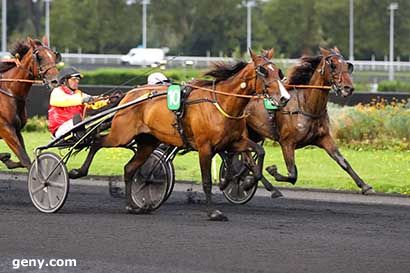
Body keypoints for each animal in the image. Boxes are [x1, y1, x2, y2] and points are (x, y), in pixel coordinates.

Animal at [0, 36, 60, 168]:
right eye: (39, 57)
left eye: (54, 55)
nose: (55, 81)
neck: (10, 90)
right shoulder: (6, 129)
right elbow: (25, 160)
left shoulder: (17, 130)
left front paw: (6, 158)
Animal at [69, 48, 290, 219]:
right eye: (263, 71)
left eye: (278, 72)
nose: (285, 97)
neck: (221, 103)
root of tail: (129, 95)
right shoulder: (205, 148)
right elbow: (207, 181)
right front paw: (213, 212)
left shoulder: (234, 141)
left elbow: (258, 152)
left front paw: (247, 182)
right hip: (121, 134)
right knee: (96, 142)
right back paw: (77, 172)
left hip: (147, 142)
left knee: (129, 168)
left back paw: (132, 206)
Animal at [245, 47, 374, 194]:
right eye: (333, 65)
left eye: (348, 66)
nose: (348, 88)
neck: (307, 106)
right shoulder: (287, 142)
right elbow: (292, 174)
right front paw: (272, 170)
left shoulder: (324, 138)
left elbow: (342, 161)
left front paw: (365, 186)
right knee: (249, 160)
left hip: (255, 134)